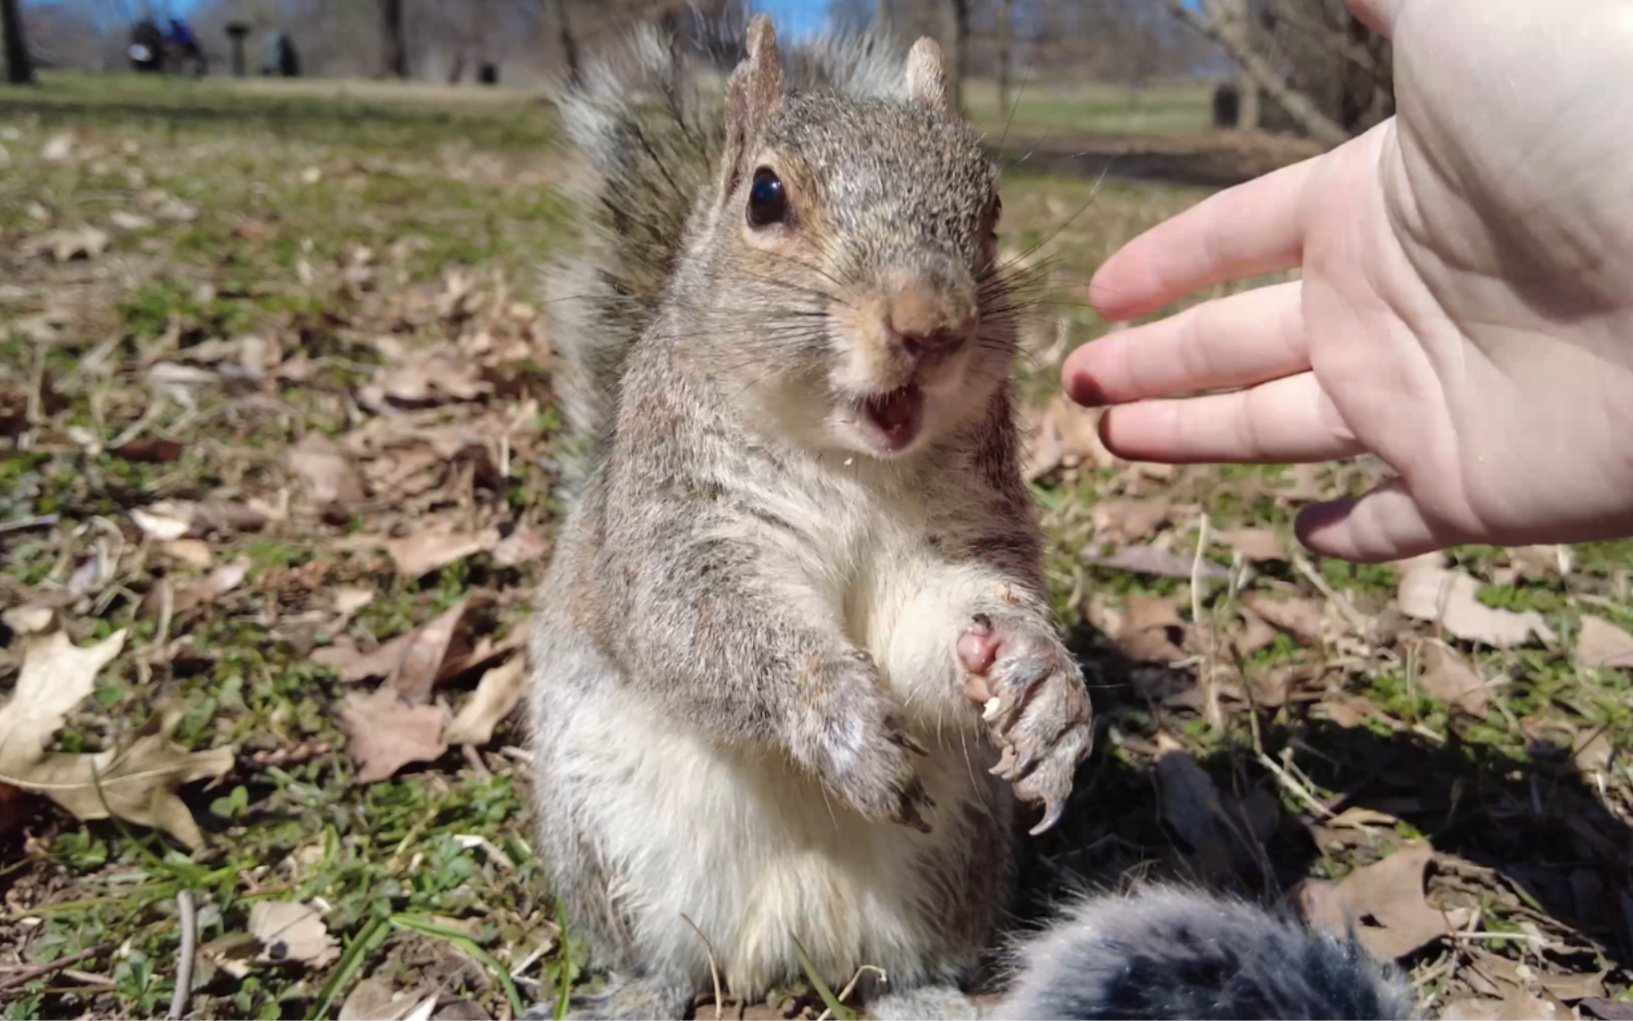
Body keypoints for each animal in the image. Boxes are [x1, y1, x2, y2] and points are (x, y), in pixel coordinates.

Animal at [525, 15, 1417, 1019]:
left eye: (989, 207)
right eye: (764, 196)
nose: (930, 323)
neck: (848, 462)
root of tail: (792, 947)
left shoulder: (958, 533)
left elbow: (944, 617)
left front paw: (1040, 680)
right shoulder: (673, 525)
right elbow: (697, 626)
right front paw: (837, 711)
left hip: (952, 859)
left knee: (909, 965)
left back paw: (928, 995)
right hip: (610, 844)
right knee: (663, 956)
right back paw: (641, 989)